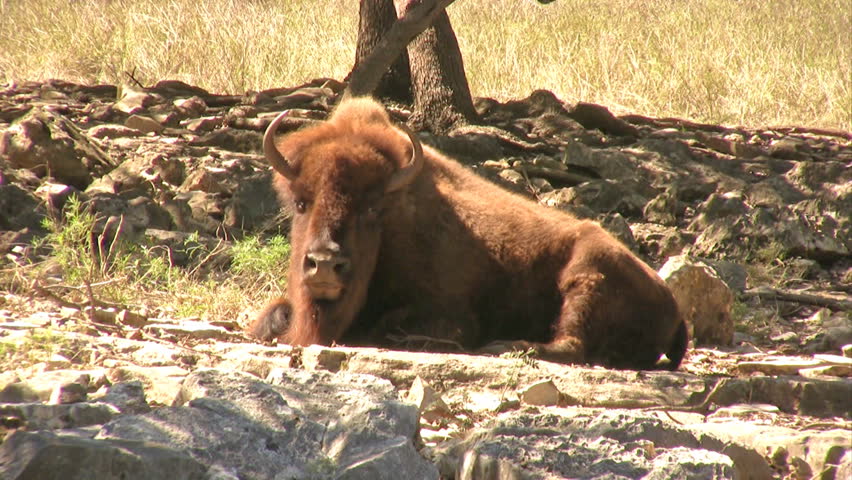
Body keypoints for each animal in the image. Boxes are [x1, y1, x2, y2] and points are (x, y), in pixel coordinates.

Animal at [249, 97, 688, 370]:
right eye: (300, 202)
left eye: (373, 209)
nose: (325, 263)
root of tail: (671, 302)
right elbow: (272, 316)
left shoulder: (450, 315)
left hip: (588, 271)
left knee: (572, 344)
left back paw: (505, 346)